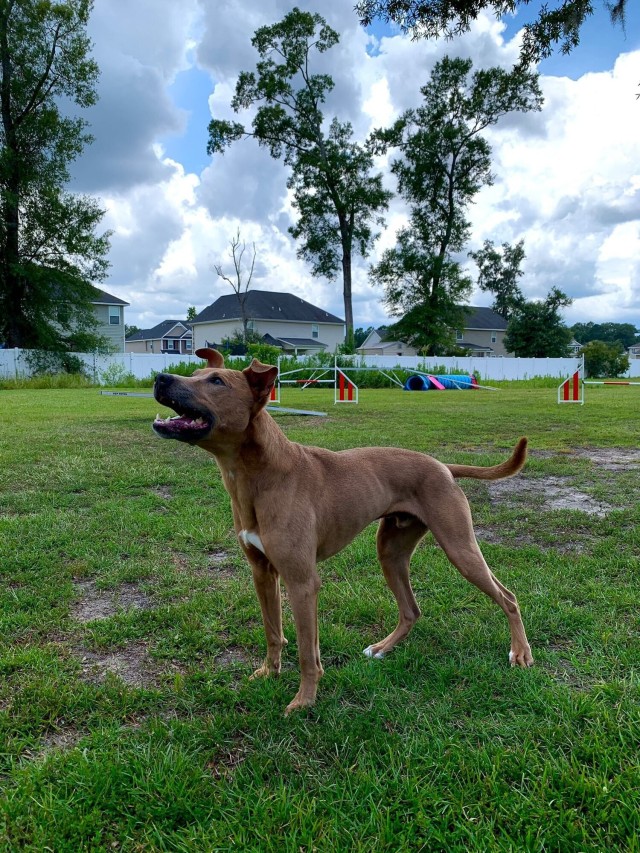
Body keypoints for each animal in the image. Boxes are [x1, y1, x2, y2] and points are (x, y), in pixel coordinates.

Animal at [152, 346, 532, 712]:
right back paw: (382, 648)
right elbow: (273, 633)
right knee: (411, 610)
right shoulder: (262, 573)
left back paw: (521, 652)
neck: (259, 476)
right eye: (195, 373)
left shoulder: (302, 582)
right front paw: (268, 672)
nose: (160, 378)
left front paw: (304, 701)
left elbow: (307, 652)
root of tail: (443, 466)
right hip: (391, 553)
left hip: (459, 548)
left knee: (509, 597)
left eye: (217, 381)